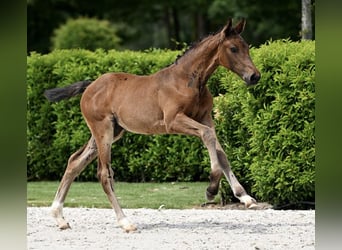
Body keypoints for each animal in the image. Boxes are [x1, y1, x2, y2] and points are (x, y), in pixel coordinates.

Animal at [44, 18, 260, 232]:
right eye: (233, 48)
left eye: (246, 47)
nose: (254, 76)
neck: (188, 81)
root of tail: (90, 86)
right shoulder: (173, 121)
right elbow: (207, 136)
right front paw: (211, 189)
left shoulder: (205, 118)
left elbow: (221, 153)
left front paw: (244, 196)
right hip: (103, 130)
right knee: (104, 173)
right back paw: (125, 222)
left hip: (112, 131)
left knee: (75, 161)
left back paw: (59, 217)